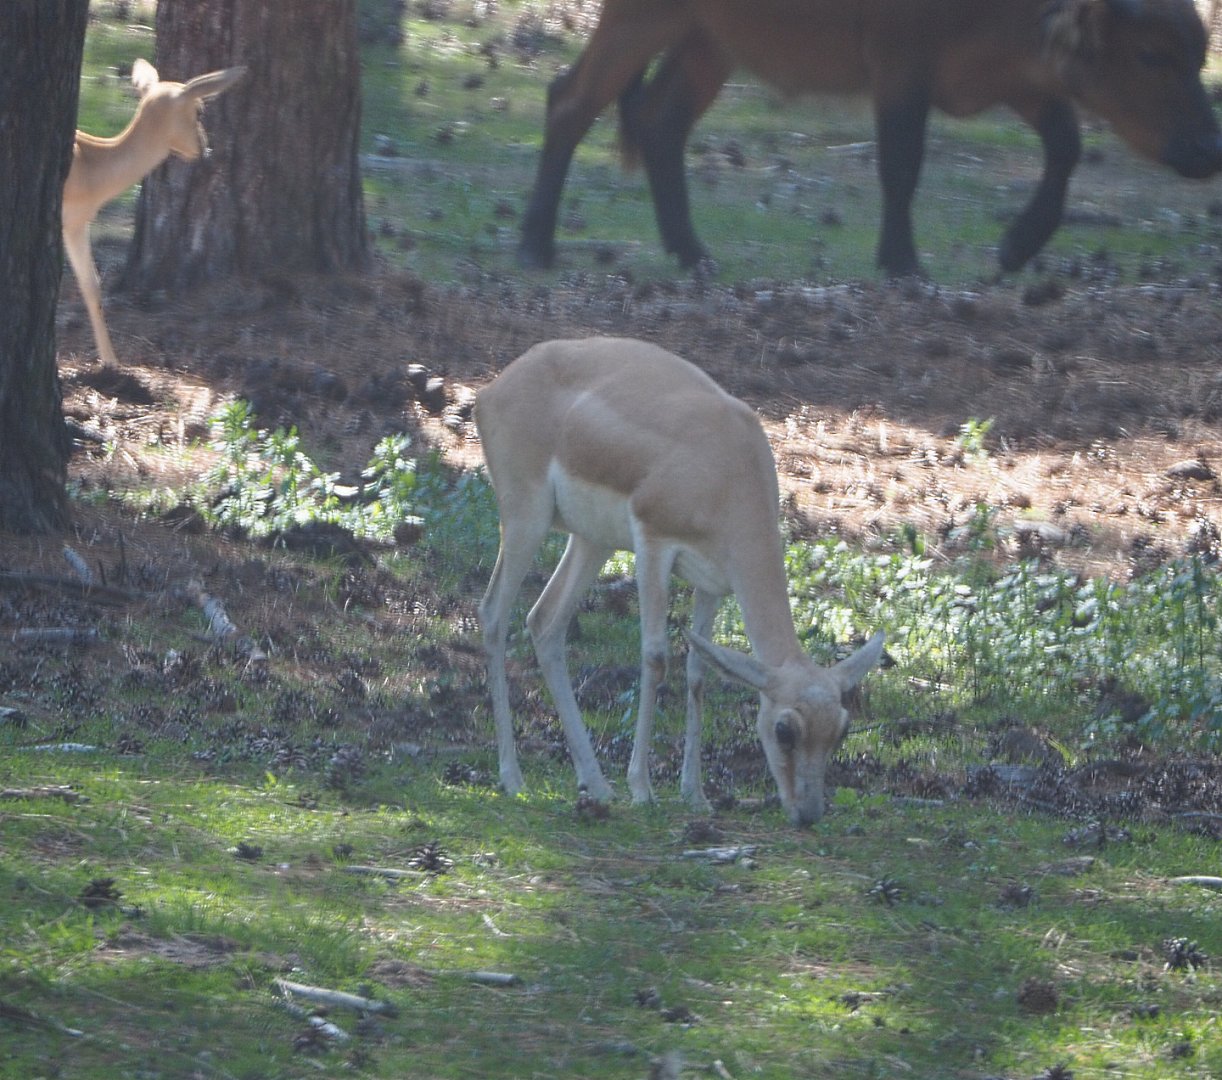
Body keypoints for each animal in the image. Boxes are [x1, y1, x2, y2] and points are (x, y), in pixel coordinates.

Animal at [62, 59, 246, 365]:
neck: (91, 170)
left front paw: (110, 361)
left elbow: (91, 285)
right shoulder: (68, 222)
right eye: (199, 109)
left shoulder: (76, 224)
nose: (205, 149)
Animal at [476, 337, 885, 825]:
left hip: (592, 541)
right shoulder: (653, 544)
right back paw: (513, 778)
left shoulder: (713, 582)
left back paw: (596, 784)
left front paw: (695, 793)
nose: (807, 815)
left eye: (840, 729)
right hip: (527, 519)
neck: (727, 470)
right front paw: (642, 787)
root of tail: (493, 389)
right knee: (494, 614)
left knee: (545, 622)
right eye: (784, 729)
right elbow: (655, 657)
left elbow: (698, 673)